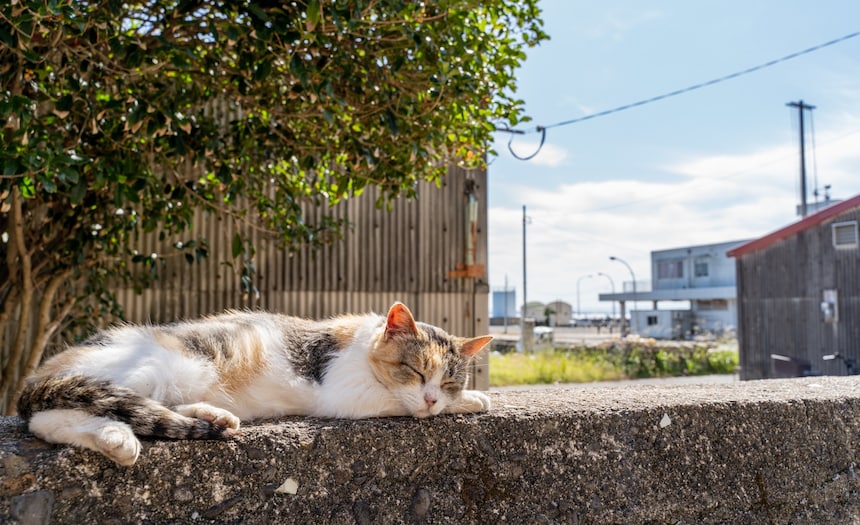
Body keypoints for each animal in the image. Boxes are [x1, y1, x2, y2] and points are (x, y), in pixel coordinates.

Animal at [16, 300, 494, 464]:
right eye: (416, 372)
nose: (433, 398)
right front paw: (472, 399)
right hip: (153, 366)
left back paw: (215, 418)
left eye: (448, 380)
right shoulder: (347, 392)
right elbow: (398, 402)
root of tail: (40, 371)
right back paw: (116, 439)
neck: (362, 343)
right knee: (50, 418)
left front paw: (467, 398)